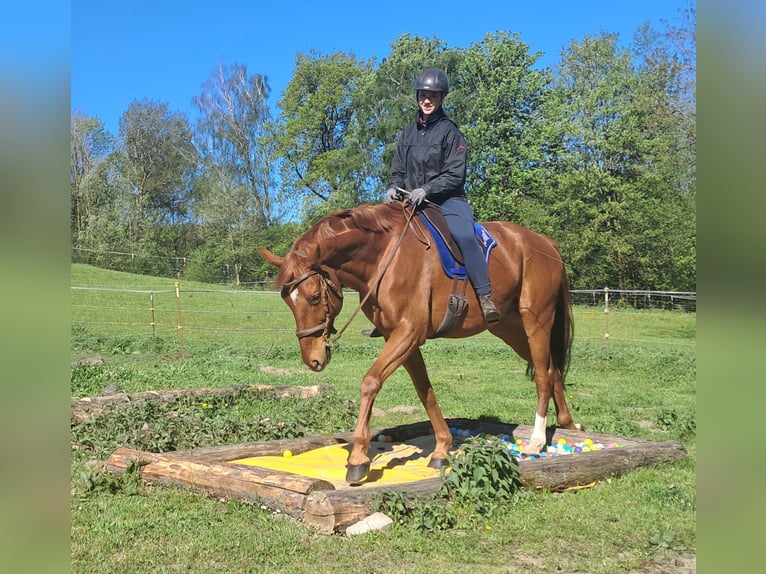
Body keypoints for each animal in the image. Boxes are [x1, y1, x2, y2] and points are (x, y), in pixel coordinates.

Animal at [259, 201, 580, 484]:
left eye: (314, 297)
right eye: (288, 300)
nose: (312, 359)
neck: (383, 257)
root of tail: (543, 241)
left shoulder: (408, 333)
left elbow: (370, 382)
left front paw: (358, 459)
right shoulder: (403, 339)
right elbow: (425, 392)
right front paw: (441, 449)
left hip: (536, 319)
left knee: (542, 374)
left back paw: (536, 441)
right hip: (509, 328)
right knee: (551, 370)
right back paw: (568, 424)